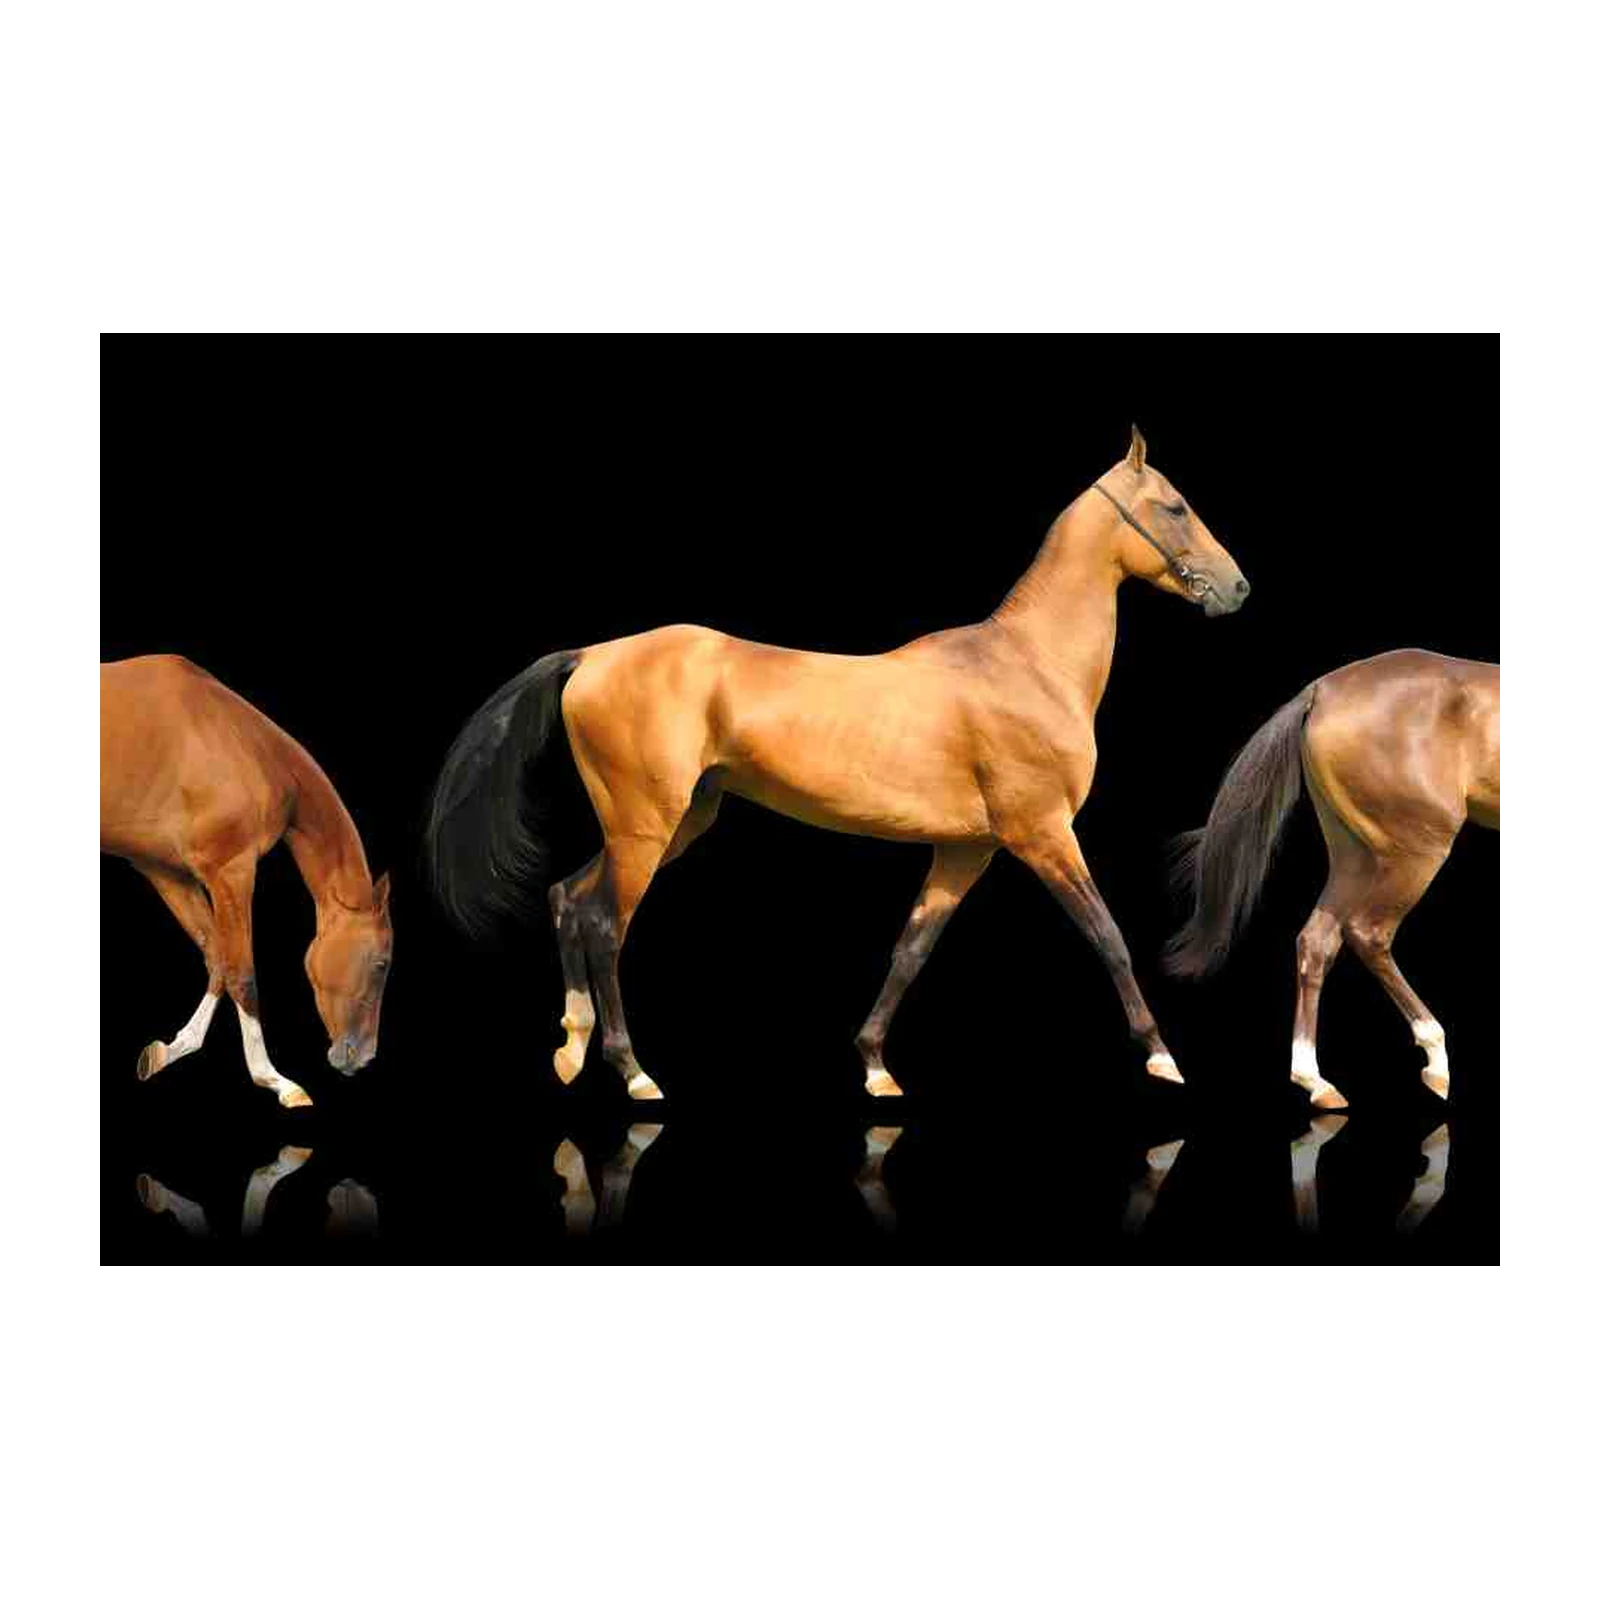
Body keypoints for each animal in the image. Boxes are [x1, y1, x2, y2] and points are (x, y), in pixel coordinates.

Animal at [96, 655, 393, 1108]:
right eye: (381, 964)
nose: (363, 1057)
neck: (238, 743)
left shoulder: (167, 871)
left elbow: (216, 956)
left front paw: (172, 1049)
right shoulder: (231, 872)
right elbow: (242, 973)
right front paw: (276, 1080)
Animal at [427, 427, 1250, 1101]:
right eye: (1176, 507)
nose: (1237, 587)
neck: (1025, 665)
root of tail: (593, 656)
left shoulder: (967, 849)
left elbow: (911, 950)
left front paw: (875, 1066)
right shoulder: (1042, 834)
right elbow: (1107, 935)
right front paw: (1163, 1057)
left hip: (673, 823)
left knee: (566, 898)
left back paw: (570, 1049)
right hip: (644, 829)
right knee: (603, 925)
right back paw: (634, 1074)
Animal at [1164, 648, 1503, 1109]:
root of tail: (1321, 691)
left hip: (1353, 857)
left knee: (1317, 941)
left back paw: (1316, 1082)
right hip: (1418, 850)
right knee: (1369, 933)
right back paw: (1436, 1063)